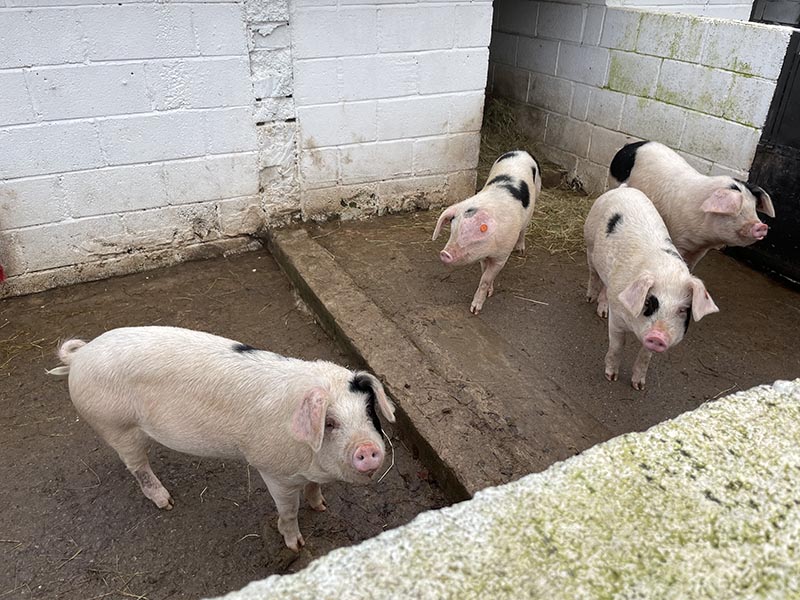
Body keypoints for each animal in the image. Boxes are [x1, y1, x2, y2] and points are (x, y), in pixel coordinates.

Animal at [48, 326, 395, 551]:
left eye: (370, 412)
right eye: (330, 423)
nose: (367, 449)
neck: (310, 458)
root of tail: (80, 357)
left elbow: (314, 489)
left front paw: (321, 507)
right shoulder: (273, 471)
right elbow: (288, 511)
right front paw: (296, 545)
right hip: (117, 426)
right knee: (138, 467)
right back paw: (167, 503)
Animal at [432, 150, 542, 314]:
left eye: (474, 234)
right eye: (453, 229)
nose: (445, 253)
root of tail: (521, 151)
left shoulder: (502, 256)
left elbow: (485, 279)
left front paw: (475, 310)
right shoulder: (483, 256)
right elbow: (484, 272)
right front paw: (490, 292)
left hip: (536, 194)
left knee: (524, 228)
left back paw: (520, 250)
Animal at [584, 186, 719, 390]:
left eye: (683, 310)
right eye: (649, 302)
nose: (658, 336)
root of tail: (623, 188)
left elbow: (645, 356)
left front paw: (639, 387)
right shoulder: (617, 318)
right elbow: (617, 346)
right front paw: (611, 377)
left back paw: (602, 311)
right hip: (590, 242)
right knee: (594, 274)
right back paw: (591, 300)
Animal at [609, 140, 775, 270]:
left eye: (754, 208)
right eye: (737, 210)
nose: (762, 226)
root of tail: (628, 147)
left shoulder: (700, 251)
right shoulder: (678, 237)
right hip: (614, 183)